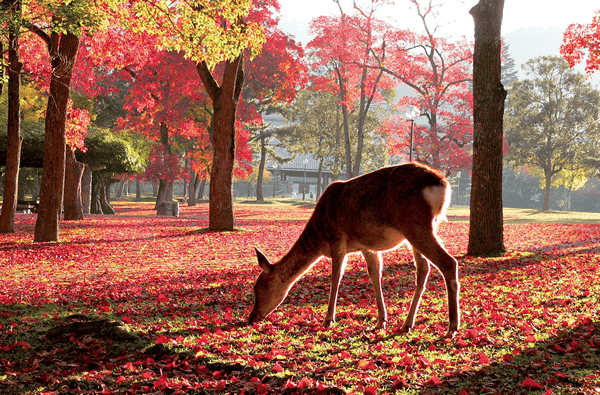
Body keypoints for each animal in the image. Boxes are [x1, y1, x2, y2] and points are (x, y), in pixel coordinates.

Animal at [248, 162, 460, 338]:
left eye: (257, 286)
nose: (252, 316)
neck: (319, 238)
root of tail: (442, 185)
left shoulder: (337, 240)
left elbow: (336, 277)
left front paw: (328, 320)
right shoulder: (366, 246)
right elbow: (375, 275)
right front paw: (381, 320)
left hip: (415, 225)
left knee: (449, 262)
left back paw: (452, 327)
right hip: (422, 229)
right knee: (423, 269)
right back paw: (408, 324)